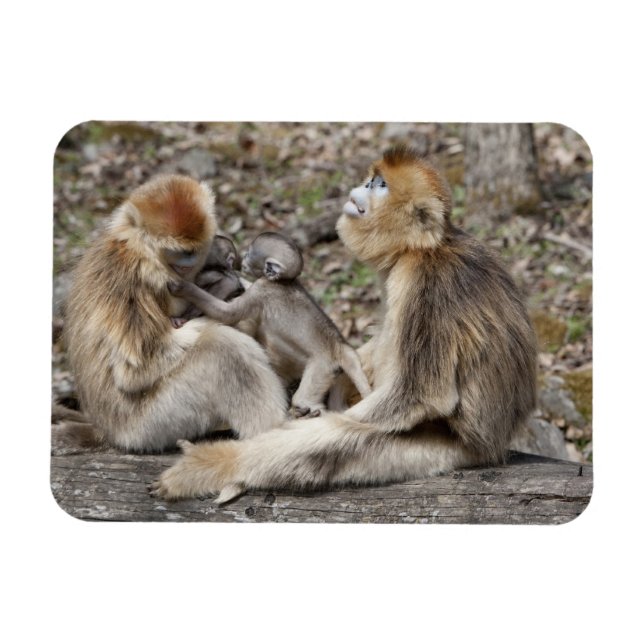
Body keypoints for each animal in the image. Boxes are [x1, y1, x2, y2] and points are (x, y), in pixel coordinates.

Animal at [61, 174, 287, 453]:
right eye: (179, 250)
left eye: (193, 249)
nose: (189, 261)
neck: (144, 253)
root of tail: (108, 432)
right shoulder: (128, 277)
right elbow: (136, 370)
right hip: (149, 426)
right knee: (224, 348)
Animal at [169, 231, 372, 418]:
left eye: (250, 253)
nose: (243, 258)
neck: (281, 281)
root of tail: (339, 346)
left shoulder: (261, 289)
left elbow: (228, 314)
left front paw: (185, 288)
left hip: (324, 366)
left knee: (306, 393)